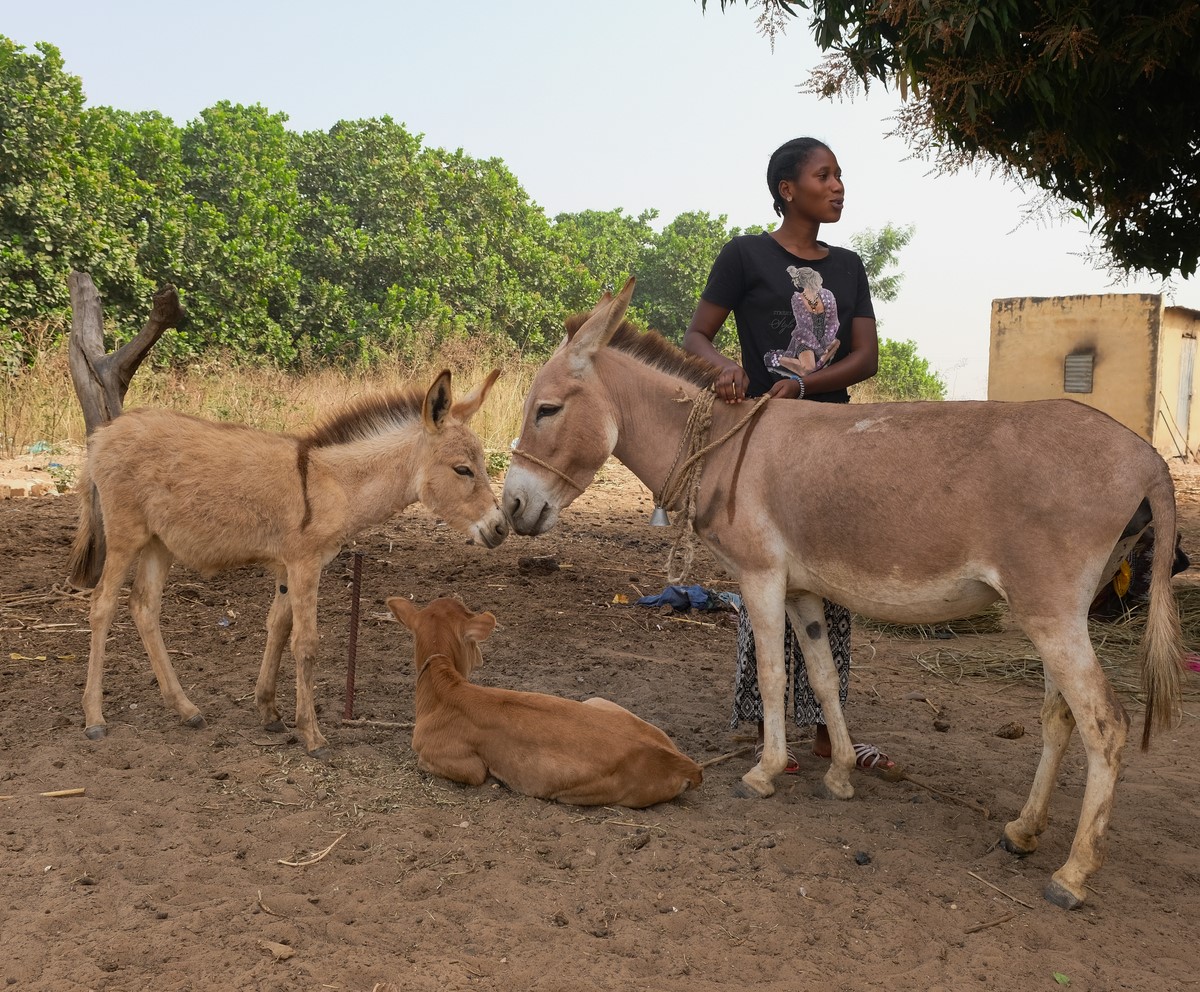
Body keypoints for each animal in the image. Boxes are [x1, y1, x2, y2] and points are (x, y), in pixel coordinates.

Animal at [68, 369, 508, 756]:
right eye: (463, 469)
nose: (501, 527)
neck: (334, 485)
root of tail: (103, 434)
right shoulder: (305, 564)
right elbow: (306, 643)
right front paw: (312, 735)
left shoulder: (286, 567)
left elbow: (278, 628)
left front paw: (269, 711)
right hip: (126, 536)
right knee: (102, 605)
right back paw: (94, 718)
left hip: (160, 542)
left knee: (143, 607)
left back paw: (185, 709)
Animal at [501, 278, 1186, 909]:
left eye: (547, 410)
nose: (510, 508)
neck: (727, 445)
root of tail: (1147, 456)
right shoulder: (803, 590)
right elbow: (824, 676)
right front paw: (839, 774)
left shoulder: (761, 577)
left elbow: (773, 674)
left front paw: (763, 772)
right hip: (1058, 613)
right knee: (1059, 717)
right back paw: (1022, 831)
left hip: (1050, 611)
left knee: (1107, 725)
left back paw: (1073, 875)